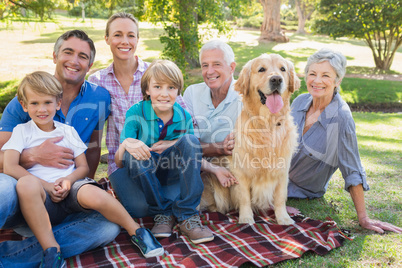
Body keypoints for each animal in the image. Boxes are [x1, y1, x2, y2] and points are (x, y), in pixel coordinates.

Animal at [199, 53, 300, 225]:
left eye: (283, 69)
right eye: (261, 69)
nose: (276, 80)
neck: (267, 124)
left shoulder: (282, 171)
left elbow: (280, 198)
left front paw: (284, 218)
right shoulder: (240, 172)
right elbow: (244, 197)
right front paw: (246, 219)